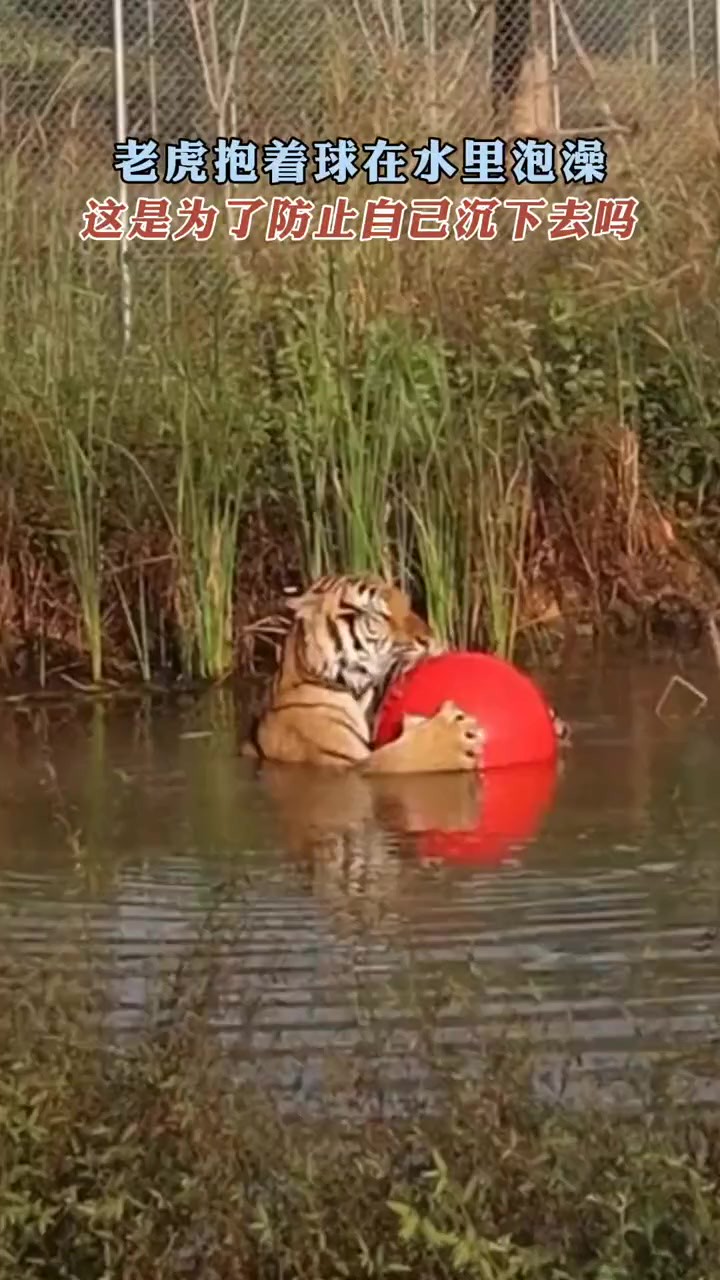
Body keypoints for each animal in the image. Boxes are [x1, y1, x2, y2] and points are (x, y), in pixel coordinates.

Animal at [240, 578, 481, 773]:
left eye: (407, 605)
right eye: (382, 615)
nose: (430, 639)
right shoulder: (349, 765)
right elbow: (397, 758)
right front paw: (456, 737)